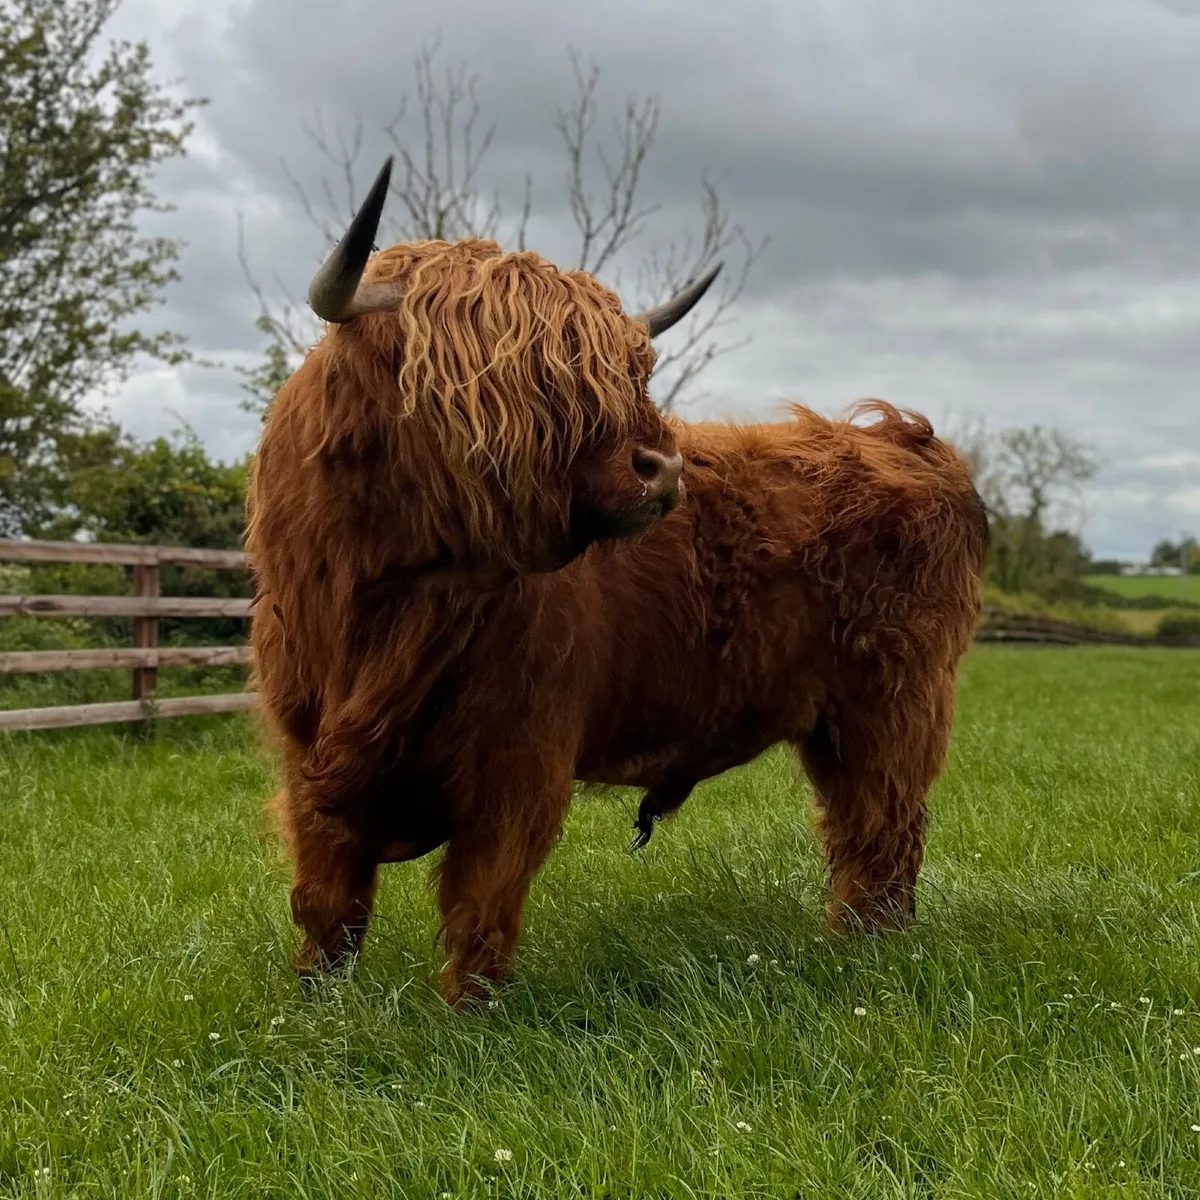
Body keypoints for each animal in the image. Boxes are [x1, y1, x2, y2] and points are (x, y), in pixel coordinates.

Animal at [246, 157, 989, 1007]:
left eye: (630, 369)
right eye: (503, 374)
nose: (661, 468)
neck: (379, 609)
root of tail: (902, 437)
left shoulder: (522, 756)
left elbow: (480, 904)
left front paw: (466, 1013)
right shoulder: (305, 753)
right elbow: (327, 904)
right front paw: (314, 1005)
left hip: (894, 706)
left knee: (883, 831)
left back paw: (865, 960)